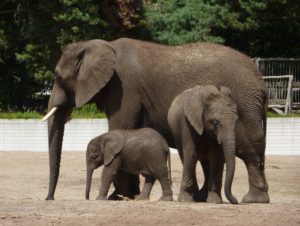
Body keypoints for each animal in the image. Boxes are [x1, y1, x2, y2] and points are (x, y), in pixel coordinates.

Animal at [42, 37, 270, 203]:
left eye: (58, 76)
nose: (49, 198)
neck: (97, 45)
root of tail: (261, 81)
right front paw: (126, 196)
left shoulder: (124, 88)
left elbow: (121, 127)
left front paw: (117, 197)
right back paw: (203, 198)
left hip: (245, 105)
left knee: (247, 149)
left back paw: (252, 200)